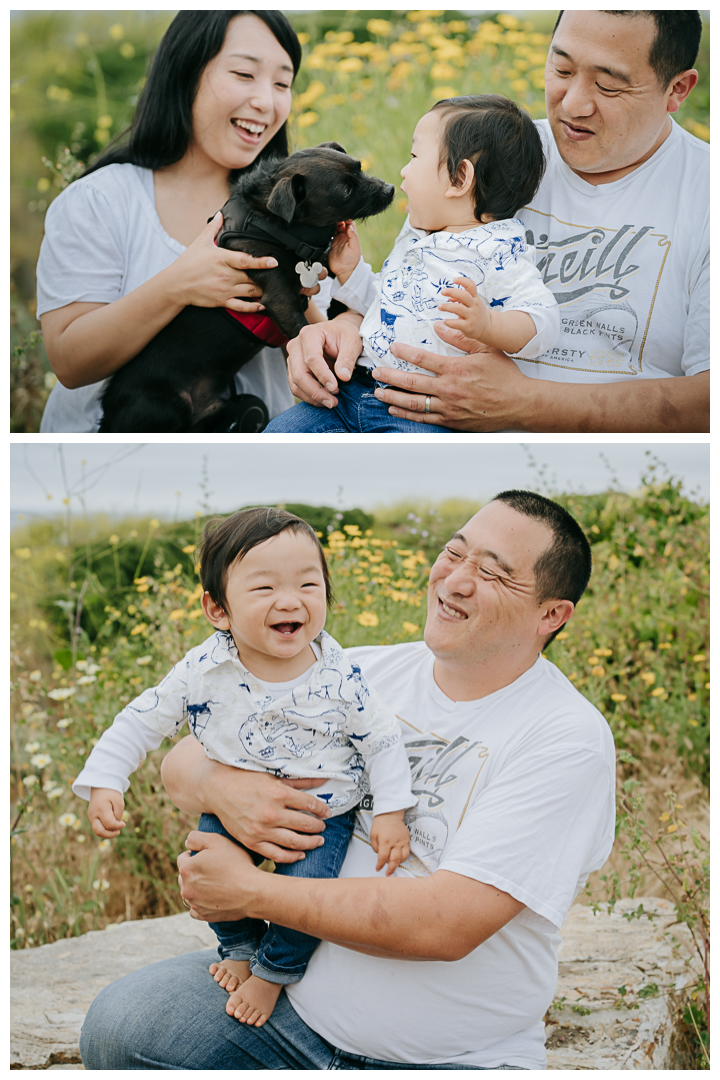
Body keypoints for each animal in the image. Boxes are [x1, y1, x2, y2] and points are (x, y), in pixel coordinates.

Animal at [98, 141, 395, 432]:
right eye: (346, 190)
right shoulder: (280, 299)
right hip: (165, 407)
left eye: (359, 168)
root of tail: (108, 416)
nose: (390, 189)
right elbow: (305, 331)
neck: (275, 227)